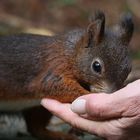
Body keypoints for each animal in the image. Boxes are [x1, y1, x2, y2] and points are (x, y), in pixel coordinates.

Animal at [0, 11, 134, 140]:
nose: (112, 93)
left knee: (36, 129)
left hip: (39, 108)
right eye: (96, 66)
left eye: (129, 70)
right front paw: (88, 95)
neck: (72, 53)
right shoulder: (55, 65)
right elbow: (52, 84)